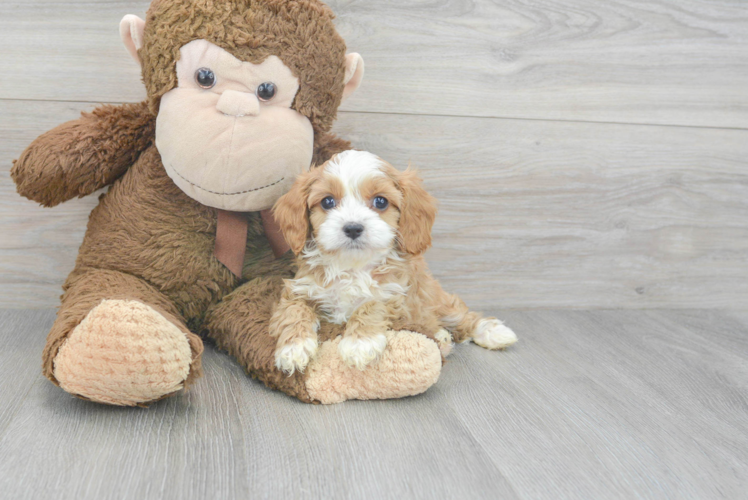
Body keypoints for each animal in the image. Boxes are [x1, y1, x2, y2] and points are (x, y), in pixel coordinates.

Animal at [270, 150, 520, 374]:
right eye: (328, 201)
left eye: (380, 201)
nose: (353, 228)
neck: (352, 267)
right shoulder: (300, 289)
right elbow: (294, 310)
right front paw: (293, 348)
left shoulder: (396, 295)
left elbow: (372, 304)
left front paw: (360, 343)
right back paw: (442, 337)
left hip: (436, 299)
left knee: (461, 316)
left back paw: (494, 333)